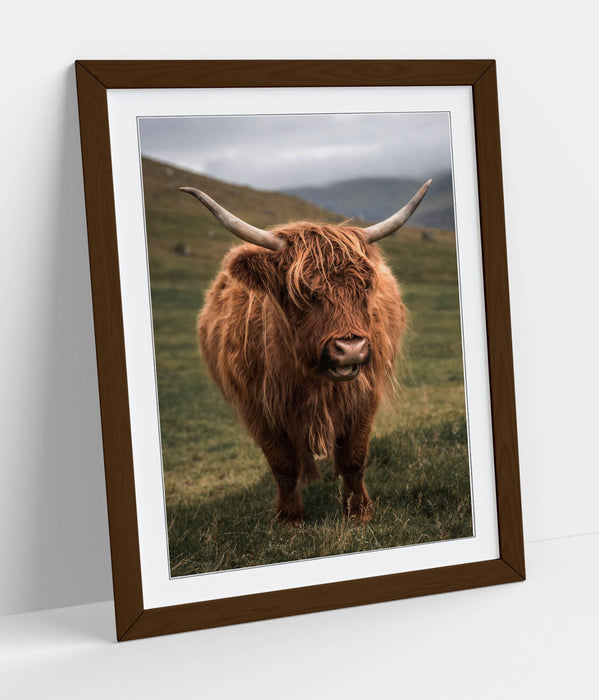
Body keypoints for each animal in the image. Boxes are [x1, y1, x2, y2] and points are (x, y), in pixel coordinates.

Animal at [180, 180, 432, 524]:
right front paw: (290, 517)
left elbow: (354, 457)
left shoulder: (364, 394)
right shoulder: (257, 406)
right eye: (302, 291)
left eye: (366, 286)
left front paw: (359, 512)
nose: (350, 349)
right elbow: (282, 464)